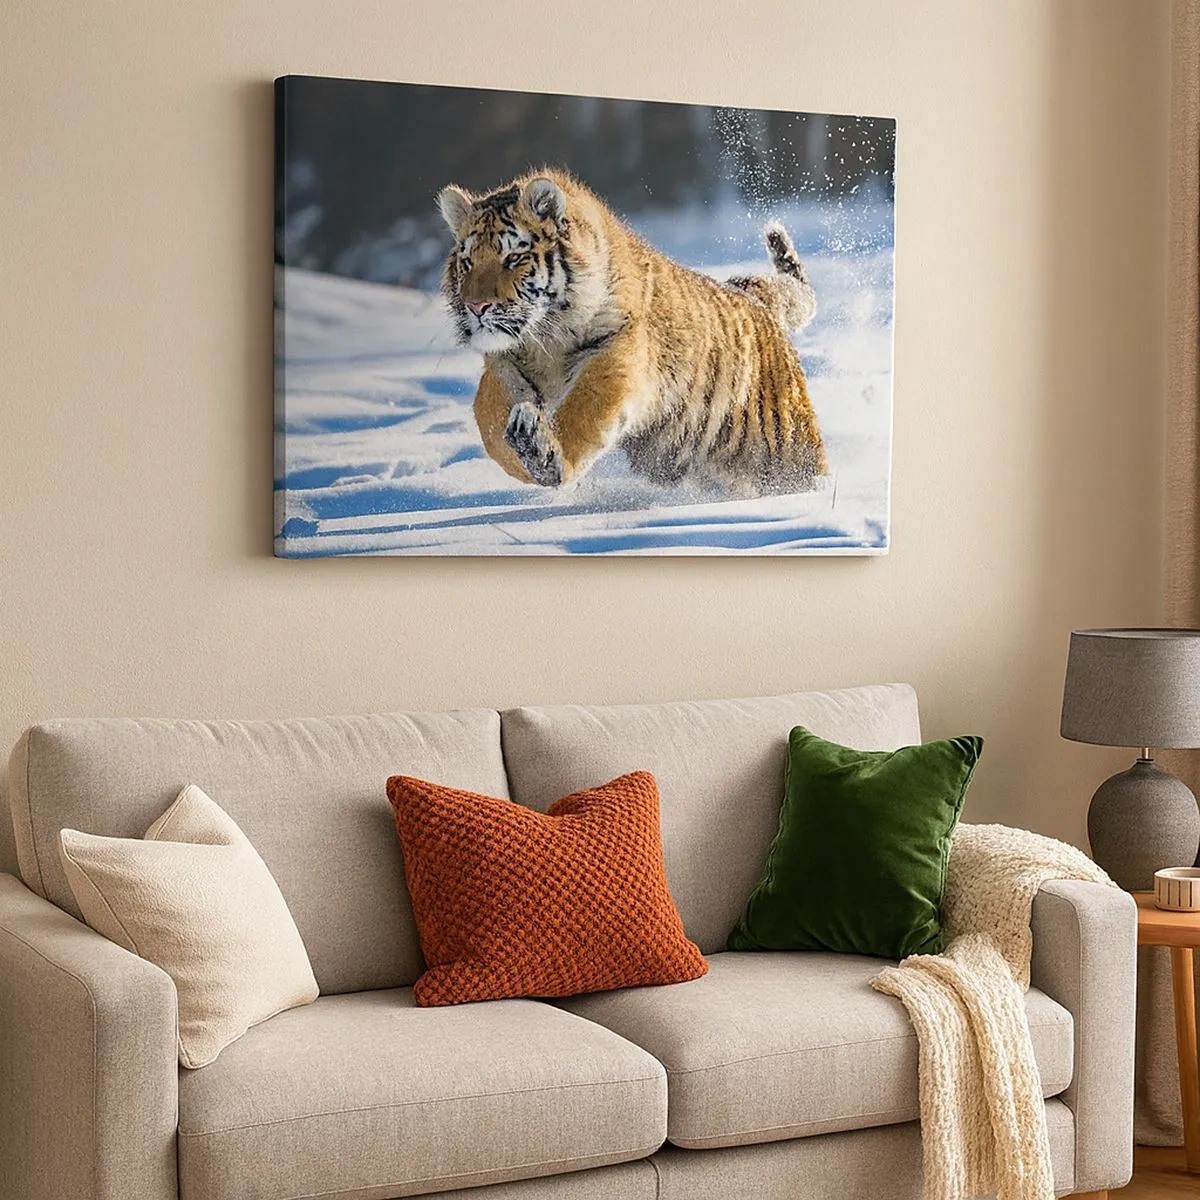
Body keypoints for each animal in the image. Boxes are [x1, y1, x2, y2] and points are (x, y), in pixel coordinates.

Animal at [436, 167, 827, 497]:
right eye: (467, 261)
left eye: (513, 259)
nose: (475, 306)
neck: (543, 339)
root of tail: (754, 297)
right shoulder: (503, 365)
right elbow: (489, 423)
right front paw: (524, 449)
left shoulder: (615, 351)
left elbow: (584, 408)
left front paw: (546, 455)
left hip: (788, 448)